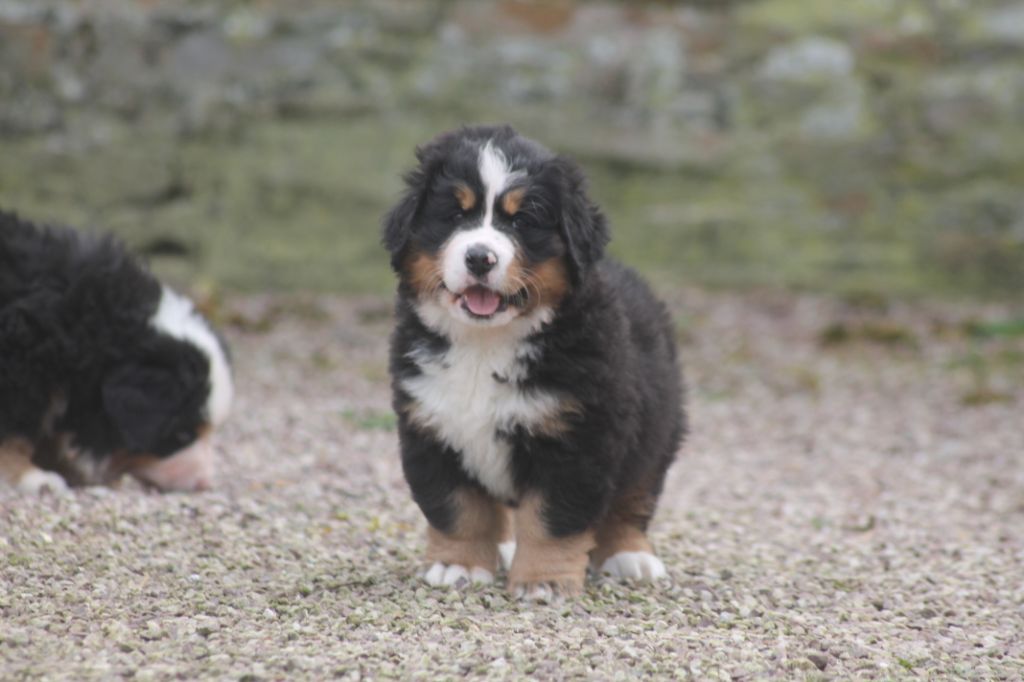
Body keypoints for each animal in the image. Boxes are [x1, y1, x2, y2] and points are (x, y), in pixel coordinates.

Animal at [385, 124, 688, 598]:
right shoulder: (431, 429)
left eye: (522, 221)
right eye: (454, 215)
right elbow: (458, 509)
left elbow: (551, 519)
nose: (479, 257)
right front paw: (459, 566)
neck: (485, 345)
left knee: (634, 497)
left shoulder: (577, 438)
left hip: (657, 425)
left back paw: (630, 556)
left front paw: (543, 580)